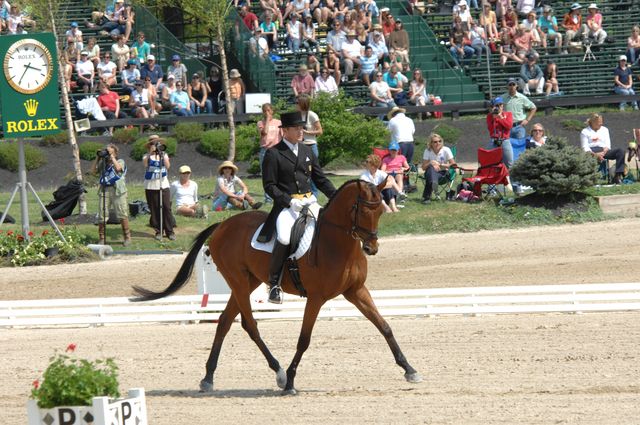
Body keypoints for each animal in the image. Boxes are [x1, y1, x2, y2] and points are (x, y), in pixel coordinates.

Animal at [132, 179, 422, 394]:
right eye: (361, 210)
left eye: (381, 210)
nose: (372, 248)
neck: (338, 243)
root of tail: (223, 224)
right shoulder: (316, 298)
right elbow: (304, 339)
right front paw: (291, 381)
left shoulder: (356, 291)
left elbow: (384, 326)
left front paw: (409, 369)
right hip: (238, 281)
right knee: (249, 324)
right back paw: (280, 373)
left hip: (249, 282)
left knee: (225, 321)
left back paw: (208, 378)